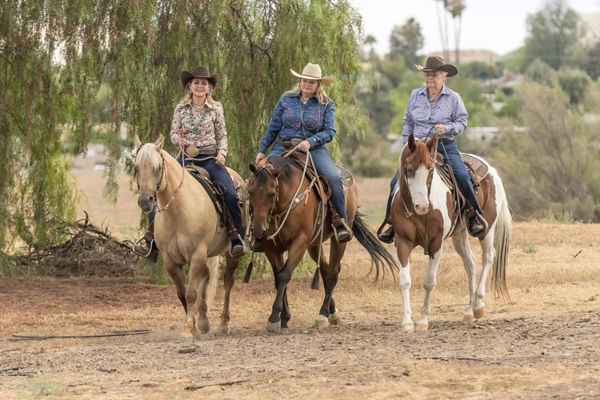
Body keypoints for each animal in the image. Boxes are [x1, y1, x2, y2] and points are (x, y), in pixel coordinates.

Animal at [133, 134, 244, 338]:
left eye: (157, 167)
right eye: (136, 168)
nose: (145, 201)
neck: (178, 212)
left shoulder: (197, 253)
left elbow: (191, 293)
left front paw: (187, 330)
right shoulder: (170, 260)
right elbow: (182, 294)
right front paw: (193, 326)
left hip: (231, 253)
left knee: (228, 281)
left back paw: (223, 324)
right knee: (207, 276)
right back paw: (203, 321)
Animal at [248, 155, 398, 332]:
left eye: (271, 194)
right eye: (250, 191)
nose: (258, 230)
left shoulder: (300, 241)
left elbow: (285, 275)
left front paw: (273, 318)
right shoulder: (272, 248)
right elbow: (278, 279)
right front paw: (283, 318)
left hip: (338, 240)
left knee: (333, 271)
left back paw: (323, 315)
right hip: (314, 245)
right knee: (326, 268)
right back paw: (332, 312)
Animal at [394, 134, 510, 332]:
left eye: (430, 170)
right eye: (409, 170)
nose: (422, 206)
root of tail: (492, 171)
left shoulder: (436, 243)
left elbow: (429, 282)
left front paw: (423, 320)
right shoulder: (402, 241)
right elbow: (404, 280)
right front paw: (407, 321)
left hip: (487, 229)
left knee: (488, 256)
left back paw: (478, 305)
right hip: (459, 234)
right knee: (470, 263)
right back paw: (469, 311)